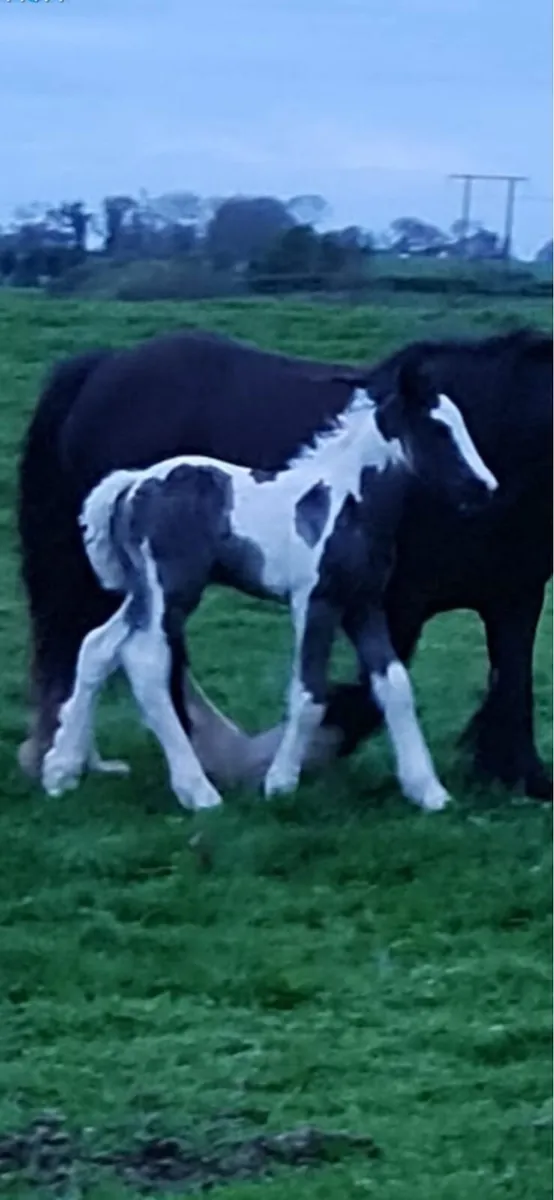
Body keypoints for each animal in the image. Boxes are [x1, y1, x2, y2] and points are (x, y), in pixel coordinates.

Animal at [17, 326, 552, 799]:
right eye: (439, 429)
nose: (485, 488)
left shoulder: (497, 596)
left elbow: (437, 683)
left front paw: (468, 785)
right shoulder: (351, 601)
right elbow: (323, 694)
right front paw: (278, 775)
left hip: (139, 591)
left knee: (98, 646)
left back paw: (69, 766)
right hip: (165, 589)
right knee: (146, 661)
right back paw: (194, 785)